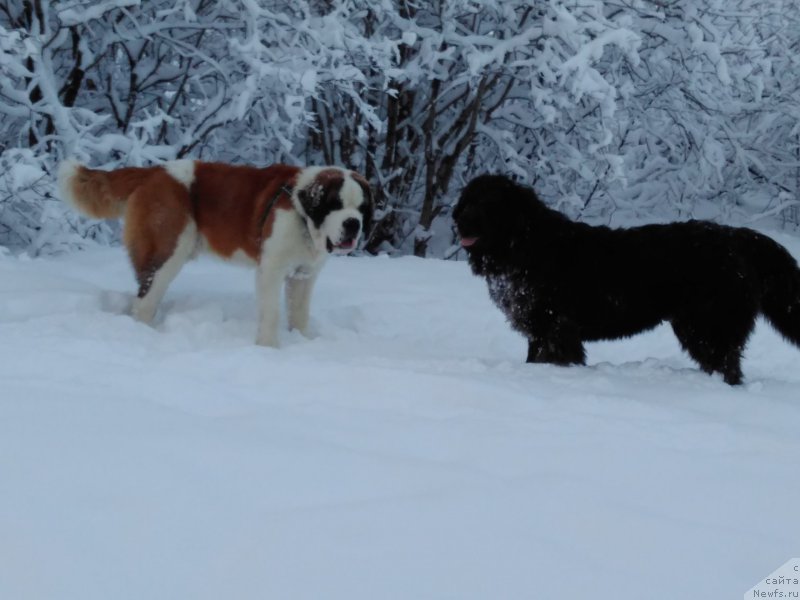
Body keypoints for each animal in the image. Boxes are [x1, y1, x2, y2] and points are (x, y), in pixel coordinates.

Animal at [57, 159, 374, 346]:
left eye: (361, 208)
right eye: (334, 204)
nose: (353, 224)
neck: (302, 213)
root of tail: (153, 171)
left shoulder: (303, 275)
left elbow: (299, 312)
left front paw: (304, 341)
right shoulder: (270, 270)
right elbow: (271, 312)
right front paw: (269, 349)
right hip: (168, 250)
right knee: (145, 299)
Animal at [454, 175, 800, 384]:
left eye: (488, 203)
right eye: (467, 199)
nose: (459, 220)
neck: (525, 245)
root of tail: (737, 236)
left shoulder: (555, 328)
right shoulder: (540, 330)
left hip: (709, 326)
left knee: (727, 365)